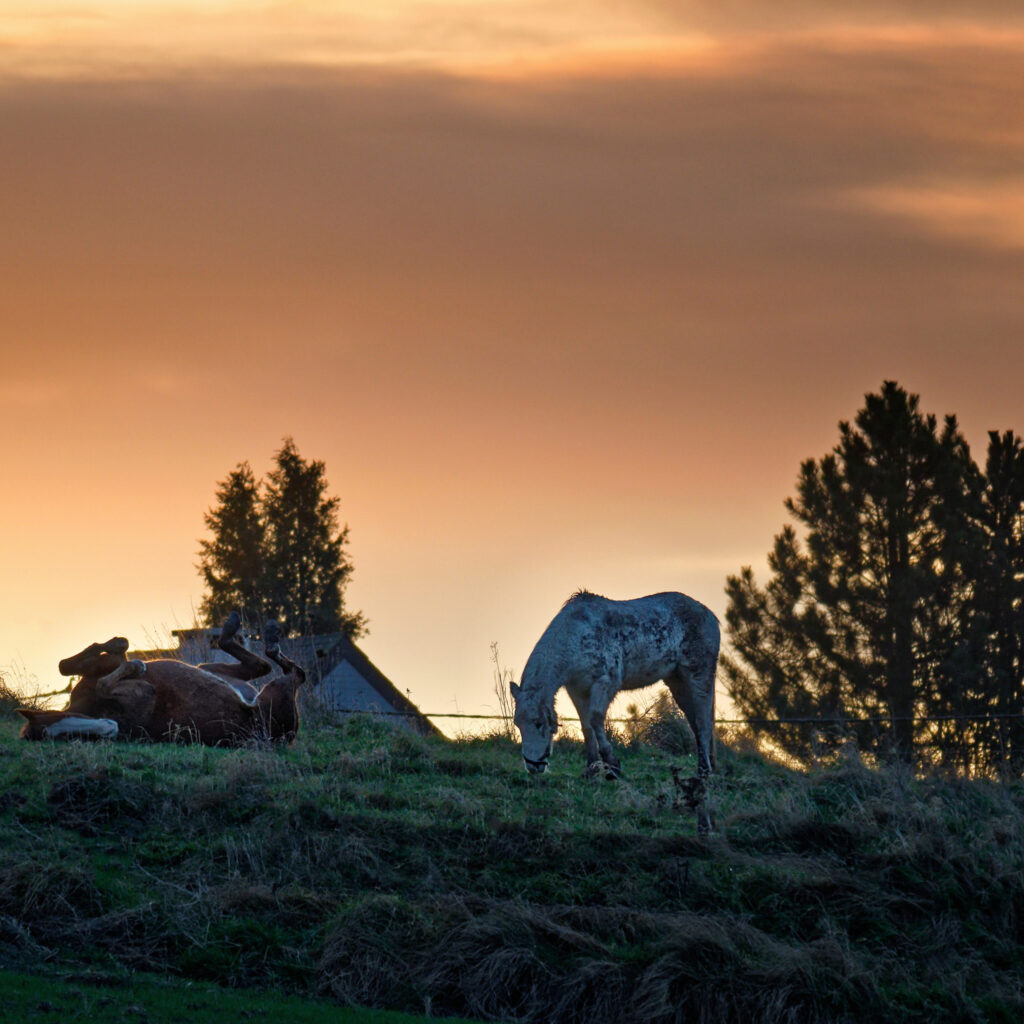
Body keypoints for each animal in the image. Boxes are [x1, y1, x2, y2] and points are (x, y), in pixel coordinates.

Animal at [18, 613, 306, 746]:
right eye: (71, 737)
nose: (110, 728)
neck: (93, 706)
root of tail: (286, 737)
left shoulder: (96, 668)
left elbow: (66, 665)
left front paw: (118, 645)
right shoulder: (136, 690)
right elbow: (106, 678)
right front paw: (135, 664)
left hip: (211, 668)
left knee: (262, 665)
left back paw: (238, 627)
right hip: (274, 692)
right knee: (287, 670)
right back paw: (265, 636)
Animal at [509, 590, 719, 832]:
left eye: (538, 723)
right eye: (518, 725)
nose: (533, 766)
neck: (576, 636)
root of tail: (710, 616)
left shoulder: (605, 683)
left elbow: (596, 719)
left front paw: (612, 767)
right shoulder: (577, 689)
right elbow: (586, 726)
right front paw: (591, 768)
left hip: (698, 676)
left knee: (703, 724)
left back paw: (703, 773)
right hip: (677, 681)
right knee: (696, 723)